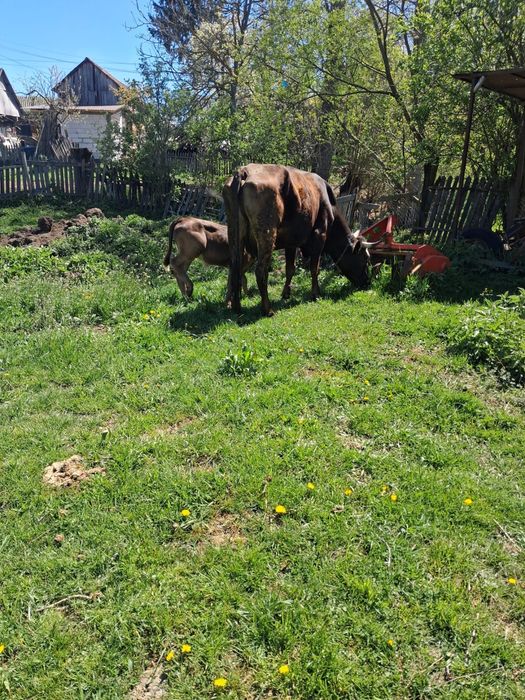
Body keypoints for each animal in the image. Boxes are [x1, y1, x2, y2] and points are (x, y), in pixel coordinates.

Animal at [223, 164, 373, 316]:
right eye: (365, 259)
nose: (368, 282)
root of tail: (244, 170)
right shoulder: (320, 235)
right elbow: (314, 268)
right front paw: (316, 293)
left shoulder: (291, 241)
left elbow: (290, 268)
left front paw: (286, 293)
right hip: (267, 233)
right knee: (260, 271)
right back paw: (267, 309)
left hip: (234, 232)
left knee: (234, 268)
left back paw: (235, 306)